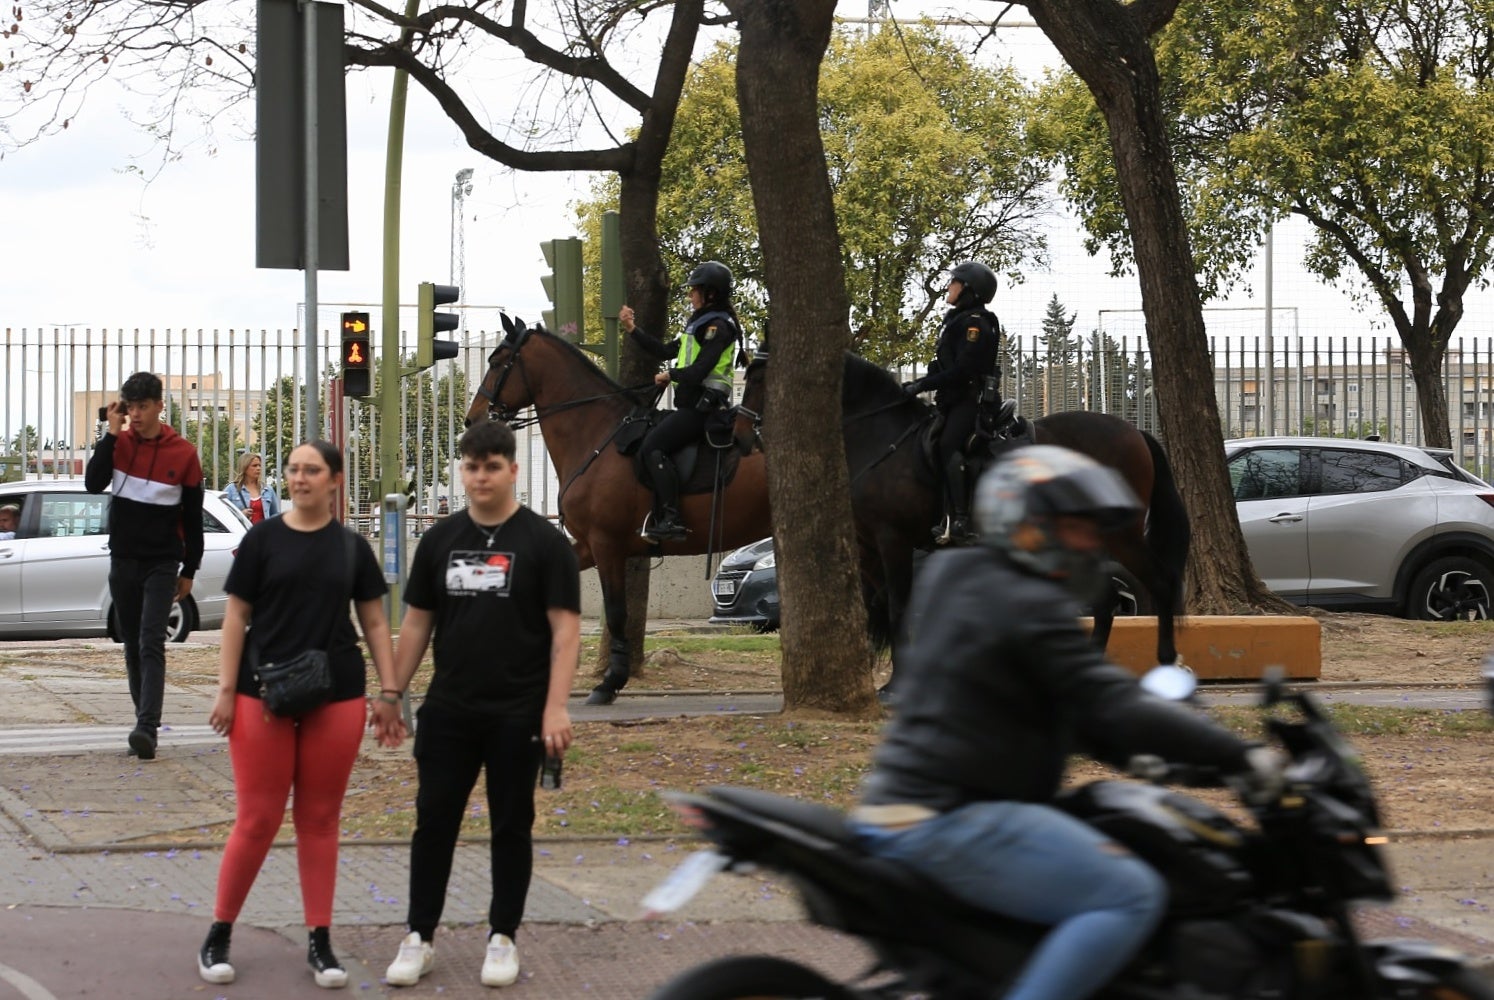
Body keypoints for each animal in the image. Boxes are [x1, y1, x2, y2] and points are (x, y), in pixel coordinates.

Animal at [466, 318, 770, 702]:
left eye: (496, 362)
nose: (472, 419)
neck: (596, 436)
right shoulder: (587, 546)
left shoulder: (606, 545)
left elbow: (615, 613)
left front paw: (610, 682)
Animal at [738, 346, 1189, 690]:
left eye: (758, 380)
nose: (741, 436)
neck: (879, 437)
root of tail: (1134, 432)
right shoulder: (867, 547)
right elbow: (875, 607)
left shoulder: (893, 541)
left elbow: (898, 607)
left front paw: (897, 683)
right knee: (1107, 600)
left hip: (1122, 536)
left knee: (1158, 583)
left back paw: (1166, 660)